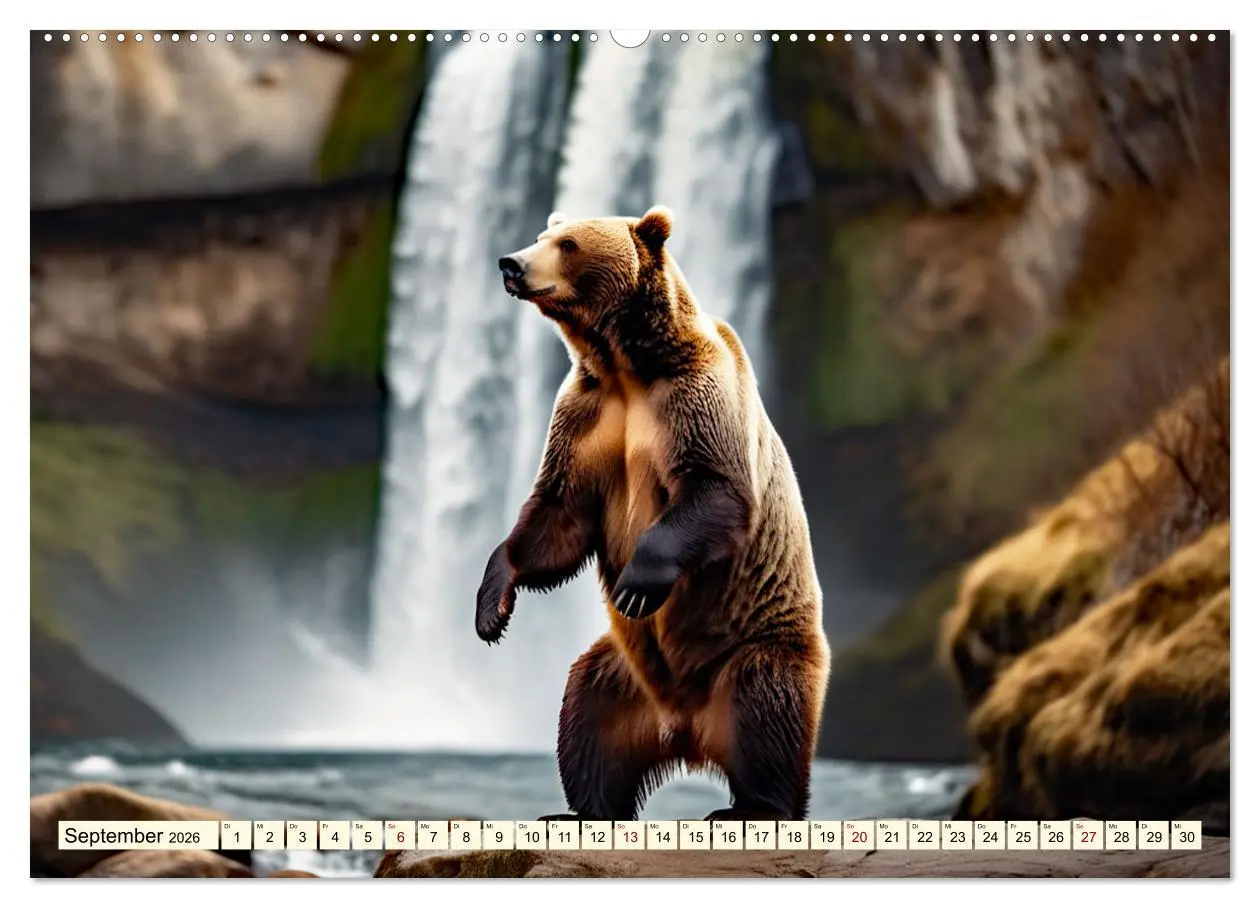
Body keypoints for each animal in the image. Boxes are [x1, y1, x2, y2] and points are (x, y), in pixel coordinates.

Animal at [475, 205, 831, 822]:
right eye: (543, 235)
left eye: (567, 244)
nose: (511, 263)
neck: (627, 365)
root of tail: (686, 731)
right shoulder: (588, 416)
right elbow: (558, 516)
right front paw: (493, 607)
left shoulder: (695, 398)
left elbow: (716, 490)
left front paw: (637, 585)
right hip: (623, 673)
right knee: (586, 719)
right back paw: (580, 810)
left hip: (755, 646)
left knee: (766, 712)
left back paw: (751, 807)